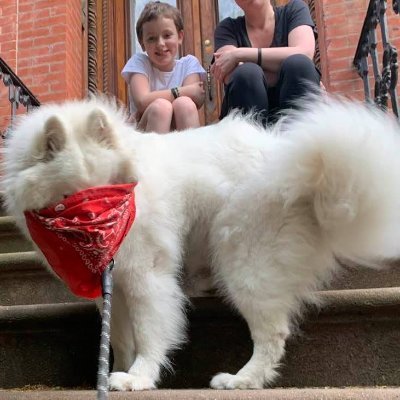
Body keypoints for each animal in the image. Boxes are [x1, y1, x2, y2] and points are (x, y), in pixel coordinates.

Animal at [2, 94, 400, 390]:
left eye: (114, 188)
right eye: (72, 197)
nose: (106, 233)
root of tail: (300, 163)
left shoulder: (146, 276)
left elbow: (149, 330)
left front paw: (138, 378)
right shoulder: (111, 288)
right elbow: (118, 336)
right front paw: (117, 372)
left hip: (243, 263)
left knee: (272, 333)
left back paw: (241, 380)